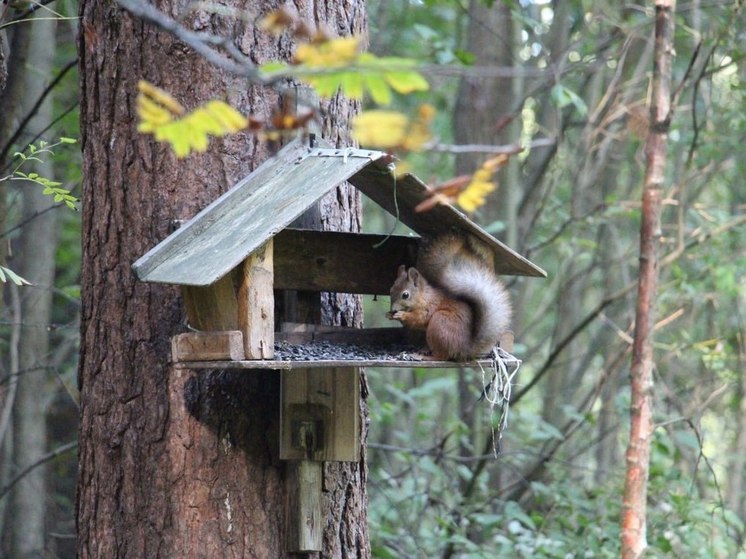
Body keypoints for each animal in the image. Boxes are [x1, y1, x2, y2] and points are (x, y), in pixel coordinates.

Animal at [384, 233, 512, 360]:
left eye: (405, 295)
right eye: (390, 290)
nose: (393, 309)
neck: (423, 296)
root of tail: (464, 349)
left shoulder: (429, 306)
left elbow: (419, 319)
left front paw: (402, 315)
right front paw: (389, 315)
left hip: (440, 322)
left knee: (441, 356)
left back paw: (424, 356)